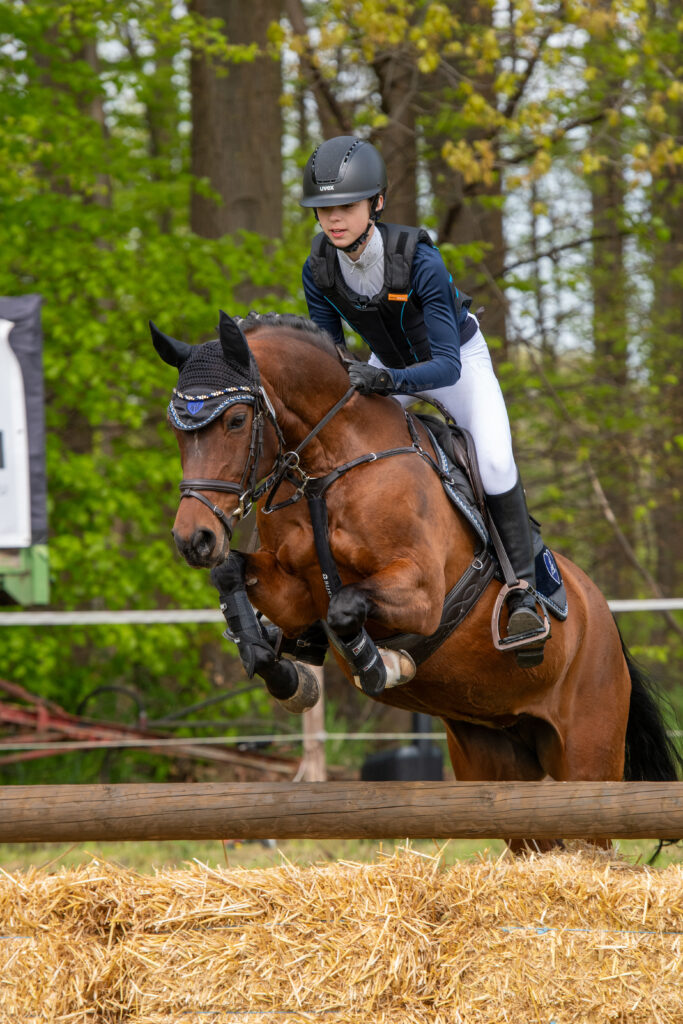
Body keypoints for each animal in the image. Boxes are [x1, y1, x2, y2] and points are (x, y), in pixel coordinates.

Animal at [150, 311, 683, 847]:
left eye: (236, 421)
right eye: (176, 430)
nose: (193, 539)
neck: (326, 469)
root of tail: (607, 623)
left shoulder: (421, 594)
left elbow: (345, 607)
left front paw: (380, 666)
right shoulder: (295, 594)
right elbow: (234, 576)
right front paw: (282, 671)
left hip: (586, 756)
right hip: (495, 758)